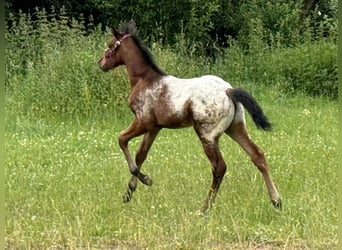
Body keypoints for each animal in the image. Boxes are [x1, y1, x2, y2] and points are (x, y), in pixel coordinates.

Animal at [98, 22, 280, 212]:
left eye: (110, 44)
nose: (100, 63)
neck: (145, 80)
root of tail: (228, 91)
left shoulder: (143, 122)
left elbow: (122, 139)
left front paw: (145, 180)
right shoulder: (155, 127)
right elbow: (141, 154)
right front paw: (129, 192)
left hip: (207, 135)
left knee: (219, 167)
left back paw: (205, 208)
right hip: (235, 128)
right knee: (257, 155)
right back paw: (277, 201)